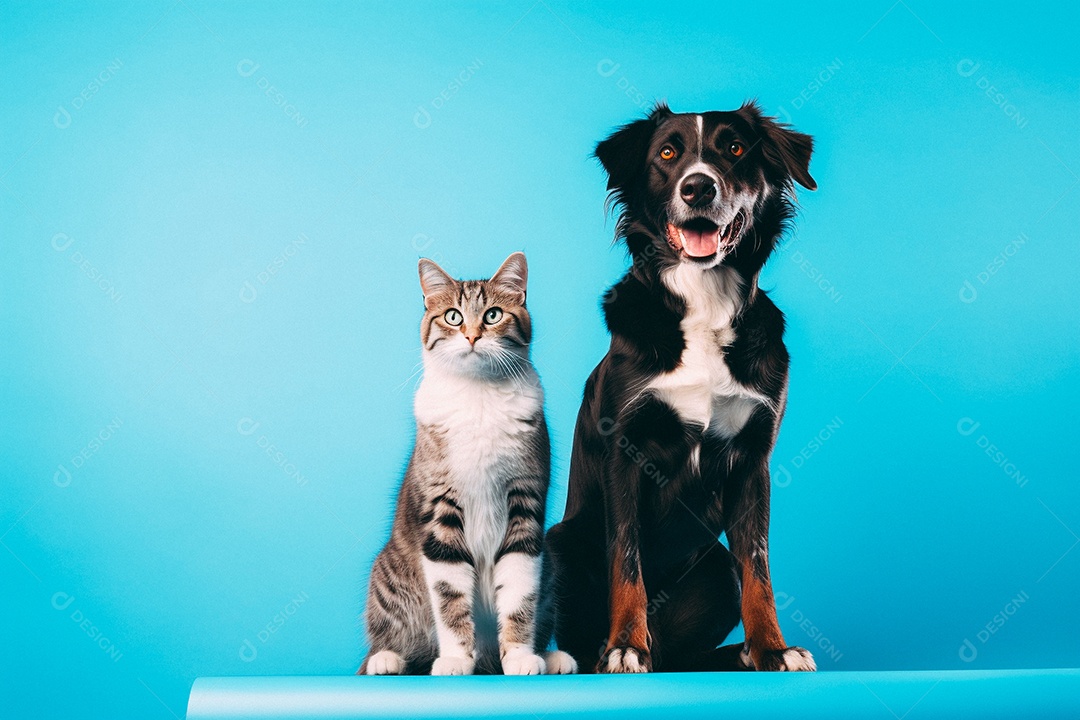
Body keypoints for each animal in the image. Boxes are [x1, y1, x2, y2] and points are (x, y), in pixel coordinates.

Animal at [358, 252, 578, 677]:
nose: (472, 336)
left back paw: (550, 656)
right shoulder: (441, 510)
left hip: (553, 562)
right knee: (393, 638)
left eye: (493, 315)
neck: (479, 395)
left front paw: (521, 656)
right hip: (388, 573)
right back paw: (387, 658)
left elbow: (520, 591)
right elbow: (449, 596)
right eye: (453, 316)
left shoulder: (524, 505)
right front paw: (457, 659)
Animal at [548, 102, 816, 677]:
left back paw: (737, 654)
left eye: (734, 148)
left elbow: (758, 567)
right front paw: (626, 645)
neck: (703, 299)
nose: (697, 187)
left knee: (690, 647)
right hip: (560, 542)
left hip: (715, 568)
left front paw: (773, 647)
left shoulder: (753, 457)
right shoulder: (626, 451)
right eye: (668, 153)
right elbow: (626, 560)